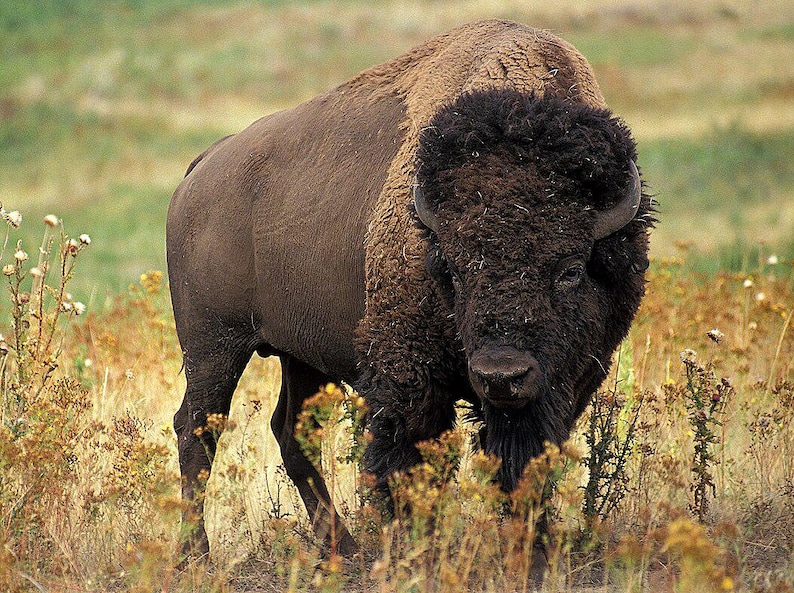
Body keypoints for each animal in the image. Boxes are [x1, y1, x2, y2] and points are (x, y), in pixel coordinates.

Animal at [167, 19, 653, 560]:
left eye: (570, 269)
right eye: (455, 270)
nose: (501, 375)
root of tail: (203, 166)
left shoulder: (566, 383)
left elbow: (526, 463)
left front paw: (532, 551)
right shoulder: (409, 378)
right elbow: (408, 463)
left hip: (300, 355)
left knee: (290, 431)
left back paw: (343, 551)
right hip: (214, 347)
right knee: (197, 429)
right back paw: (197, 555)